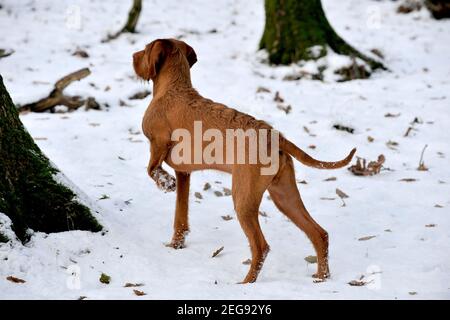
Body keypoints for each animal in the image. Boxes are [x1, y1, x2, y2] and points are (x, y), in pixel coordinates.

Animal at [132, 38, 356, 284]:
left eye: (145, 49)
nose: (133, 56)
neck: (174, 88)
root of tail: (273, 136)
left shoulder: (158, 143)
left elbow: (151, 169)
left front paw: (165, 183)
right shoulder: (184, 173)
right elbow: (180, 217)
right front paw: (176, 245)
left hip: (243, 199)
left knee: (261, 246)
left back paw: (246, 283)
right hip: (284, 195)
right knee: (319, 233)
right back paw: (321, 277)